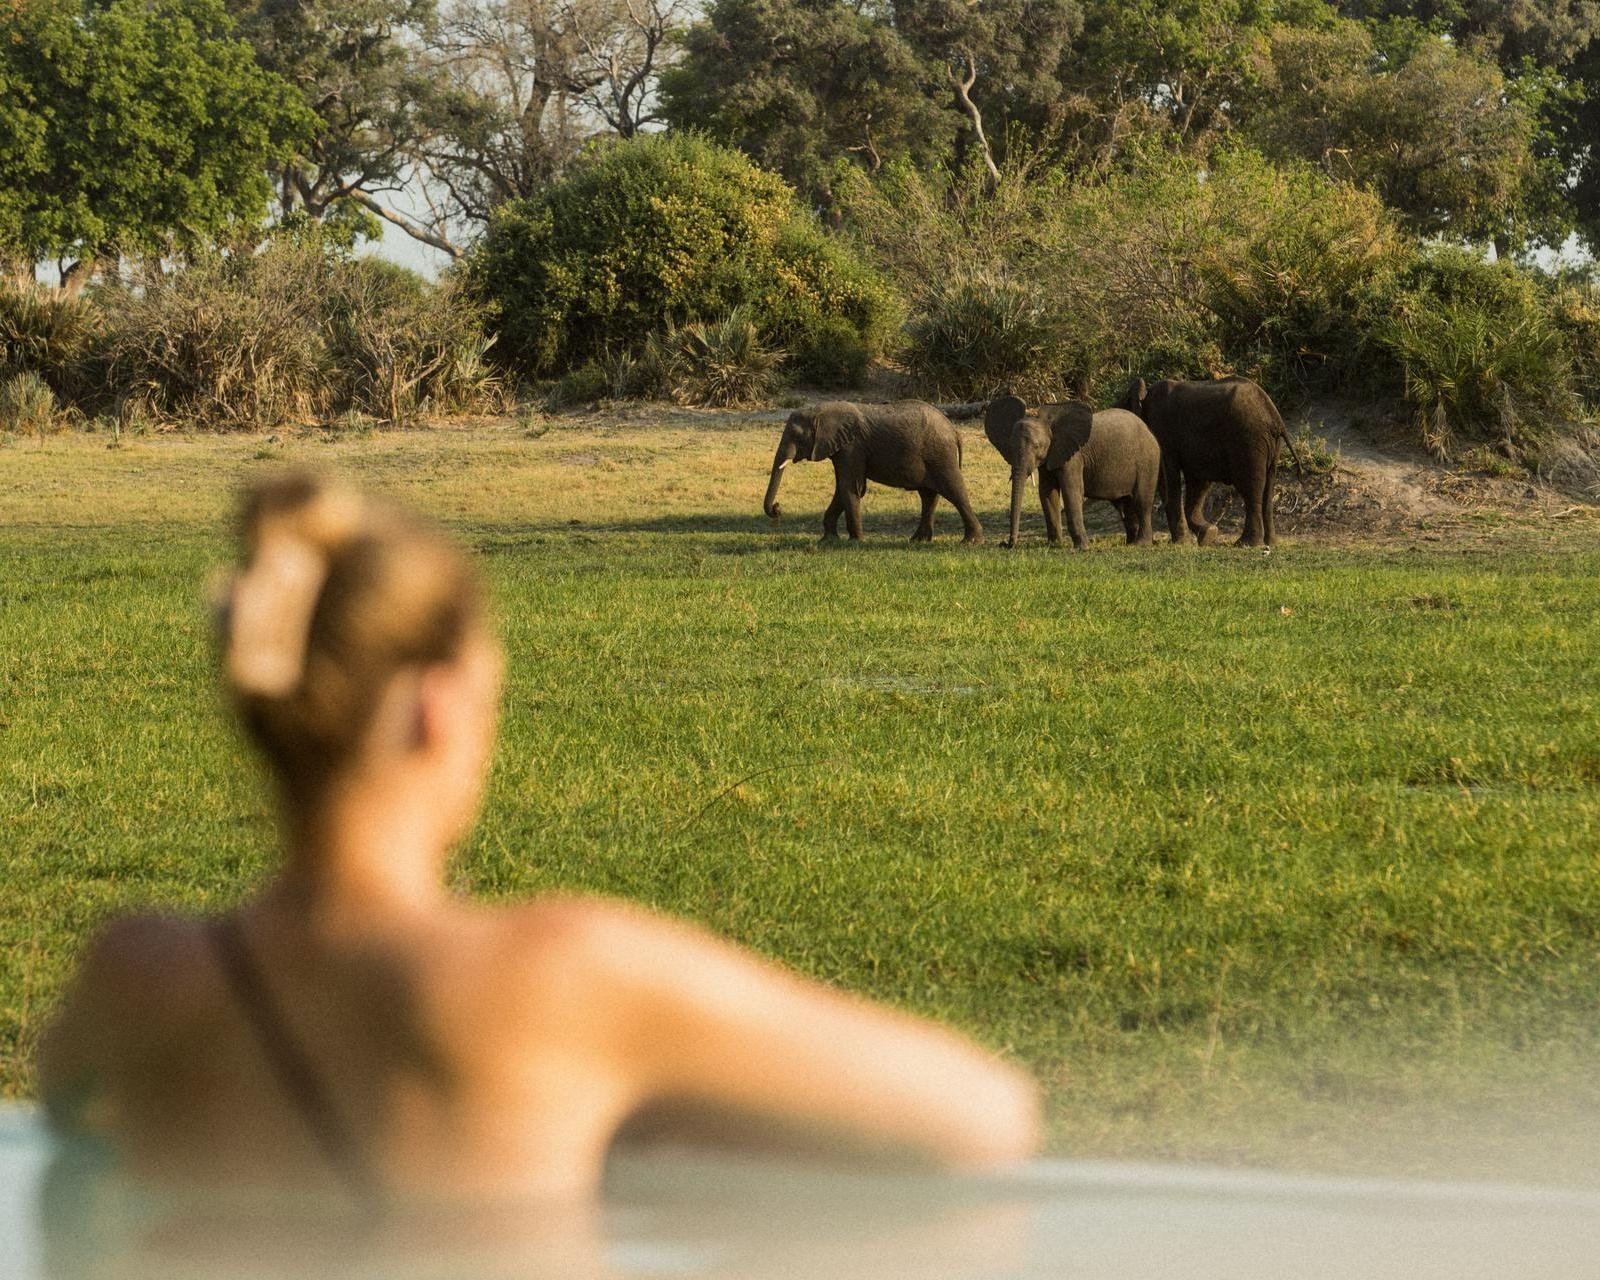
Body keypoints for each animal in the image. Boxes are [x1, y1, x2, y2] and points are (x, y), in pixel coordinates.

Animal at [763, 400, 983, 543]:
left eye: (797, 436)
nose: (777, 508)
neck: (821, 410)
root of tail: (954, 430)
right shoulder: (844, 450)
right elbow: (842, 489)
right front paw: (828, 540)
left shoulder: (852, 448)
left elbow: (849, 488)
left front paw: (855, 542)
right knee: (928, 495)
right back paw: (918, 540)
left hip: (940, 454)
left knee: (954, 491)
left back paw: (970, 542)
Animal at [983, 396, 1161, 550]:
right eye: (1010, 445)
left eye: (1037, 446)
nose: (1006, 544)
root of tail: (1149, 430)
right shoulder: (1051, 455)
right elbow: (1047, 493)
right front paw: (1054, 544)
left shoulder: (1073, 456)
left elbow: (1071, 490)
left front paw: (1082, 548)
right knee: (1124, 505)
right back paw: (1129, 543)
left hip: (1148, 462)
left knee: (1142, 501)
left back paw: (1141, 544)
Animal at [1118, 376, 1304, 548]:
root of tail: (1274, 416)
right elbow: (1198, 482)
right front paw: (1208, 535)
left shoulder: (1162, 431)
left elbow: (1168, 477)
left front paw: (1183, 542)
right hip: (1269, 445)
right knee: (1268, 488)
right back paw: (1270, 543)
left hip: (1248, 440)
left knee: (1250, 488)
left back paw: (1246, 544)